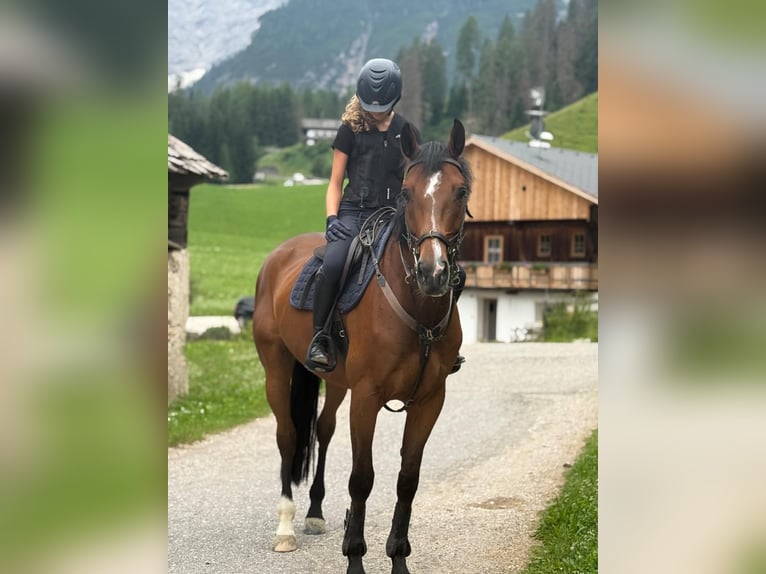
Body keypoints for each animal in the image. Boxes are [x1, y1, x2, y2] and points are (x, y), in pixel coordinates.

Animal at [252, 119, 472, 574]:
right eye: (407, 192)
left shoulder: (430, 399)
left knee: (322, 429)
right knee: (287, 436)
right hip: (276, 370)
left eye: (460, 192)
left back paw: (315, 513)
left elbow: (408, 479)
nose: (433, 272)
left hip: (336, 381)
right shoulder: (367, 396)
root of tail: (277, 258)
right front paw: (355, 556)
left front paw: (399, 557)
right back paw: (285, 528)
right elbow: (362, 478)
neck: (416, 309)